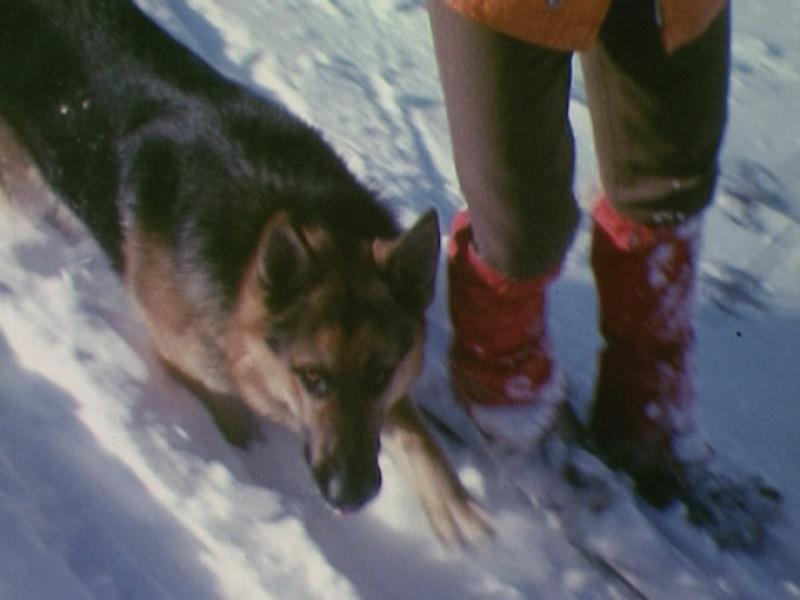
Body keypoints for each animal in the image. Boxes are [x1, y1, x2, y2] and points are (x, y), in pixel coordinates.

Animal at [0, 0, 490, 544]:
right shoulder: (198, 370)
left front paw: (452, 501)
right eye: (311, 377)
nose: (351, 495)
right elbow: (240, 431)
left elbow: (411, 425)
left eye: (380, 373)